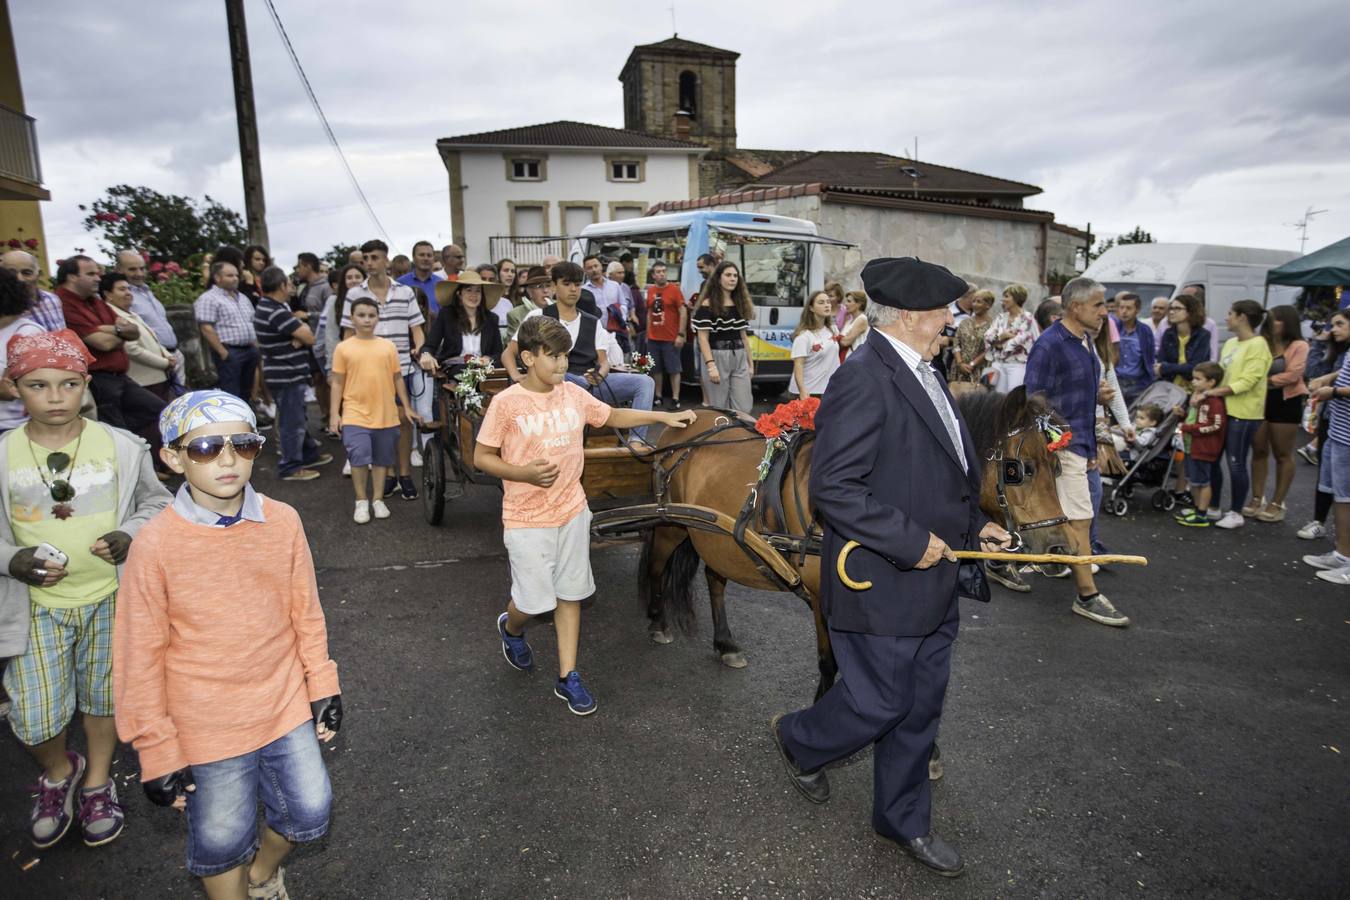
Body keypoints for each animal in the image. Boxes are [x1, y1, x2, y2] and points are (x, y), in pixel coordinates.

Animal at [642, 383, 1074, 701]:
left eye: (1056, 467)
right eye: (1019, 469)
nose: (1059, 547)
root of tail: (687, 422)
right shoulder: (825, 599)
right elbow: (830, 663)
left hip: (718, 536)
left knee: (715, 579)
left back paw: (725, 643)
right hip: (671, 525)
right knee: (657, 566)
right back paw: (657, 621)